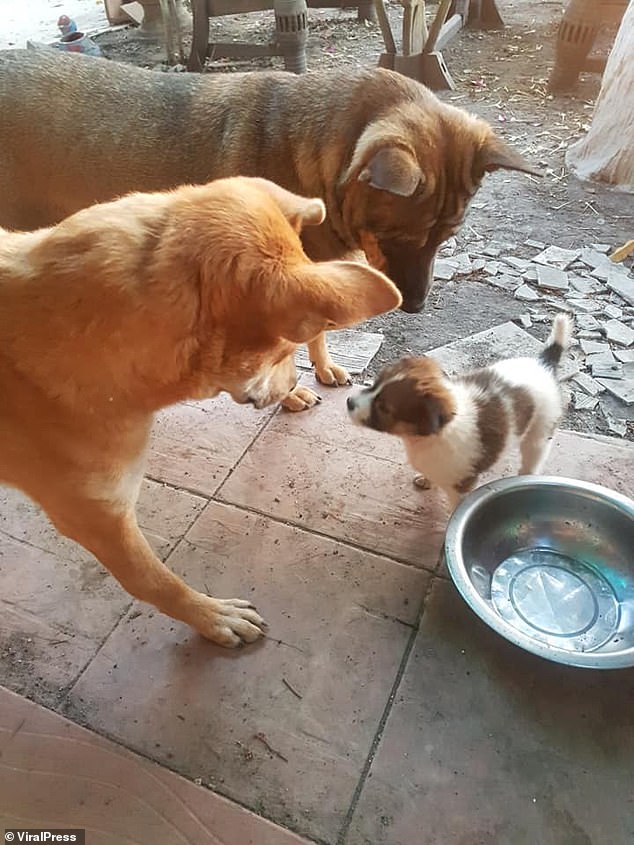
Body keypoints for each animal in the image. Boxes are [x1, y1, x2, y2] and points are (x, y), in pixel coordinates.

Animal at [0, 48, 536, 408]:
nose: (417, 307)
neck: (319, 158)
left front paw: (322, 369)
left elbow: (316, 335)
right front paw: (289, 393)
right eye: (398, 239)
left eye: (446, 238)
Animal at [346, 314, 572, 508]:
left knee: (532, 461)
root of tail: (544, 364)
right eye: (375, 384)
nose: (348, 401)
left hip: (539, 434)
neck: (424, 439)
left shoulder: (462, 488)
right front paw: (426, 480)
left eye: (383, 407)